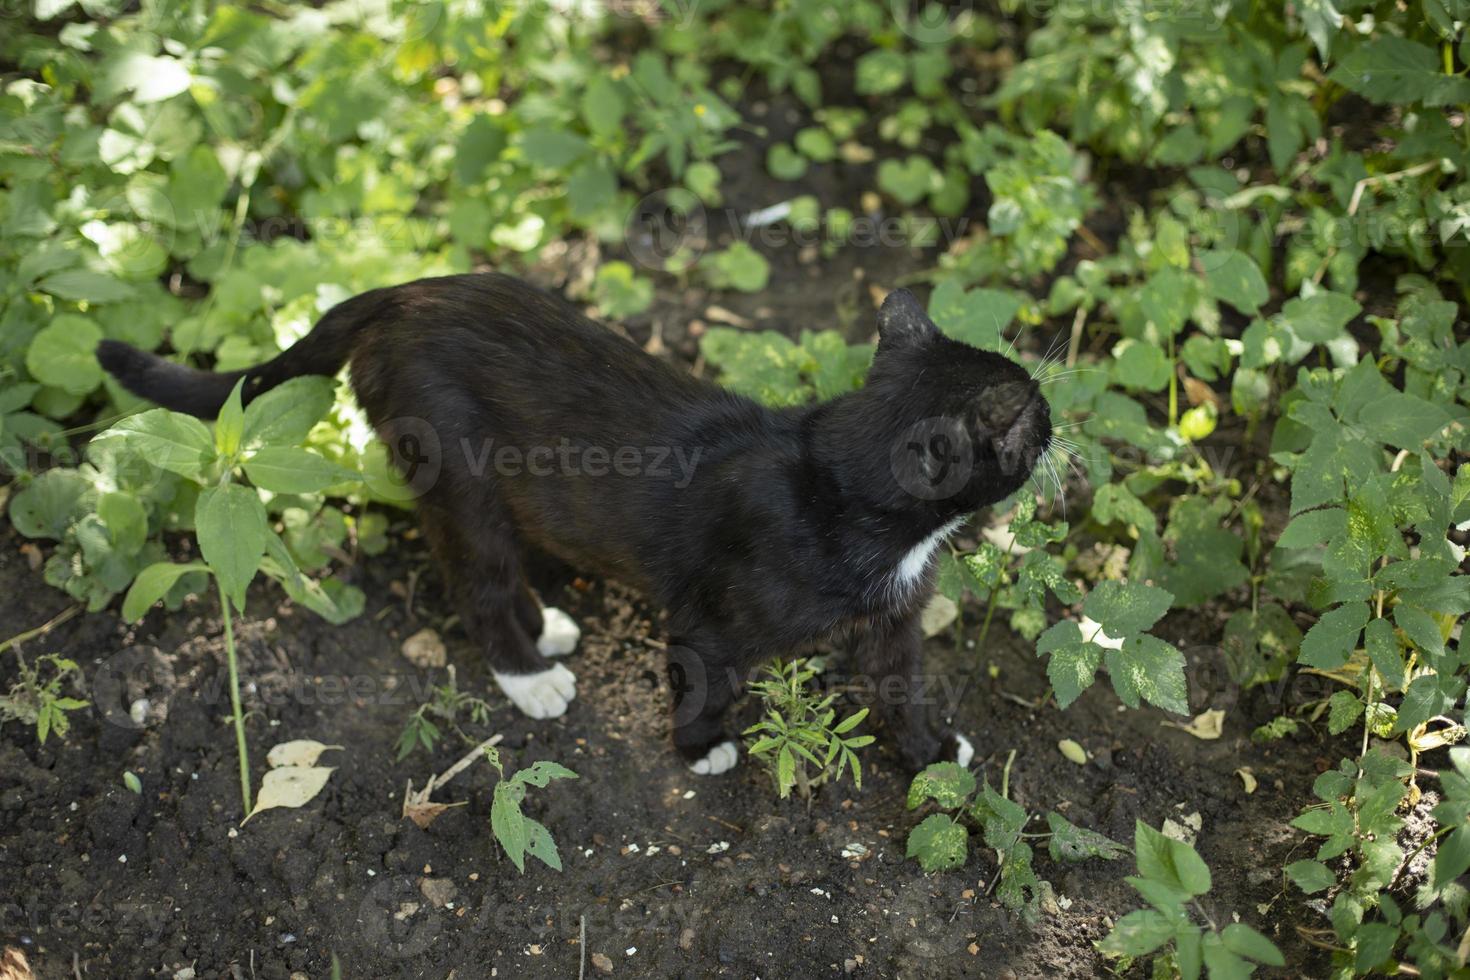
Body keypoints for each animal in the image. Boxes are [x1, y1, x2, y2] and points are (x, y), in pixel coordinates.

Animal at [97, 274, 1052, 775]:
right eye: (1033, 419)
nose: (1056, 422)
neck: (844, 492)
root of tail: (403, 294)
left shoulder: (895, 621)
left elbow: (900, 688)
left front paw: (931, 754)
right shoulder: (708, 620)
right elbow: (701, 677)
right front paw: (702, 749)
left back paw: (547, 627)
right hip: (459, 481)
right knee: (476, 582)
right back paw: (529, 676)